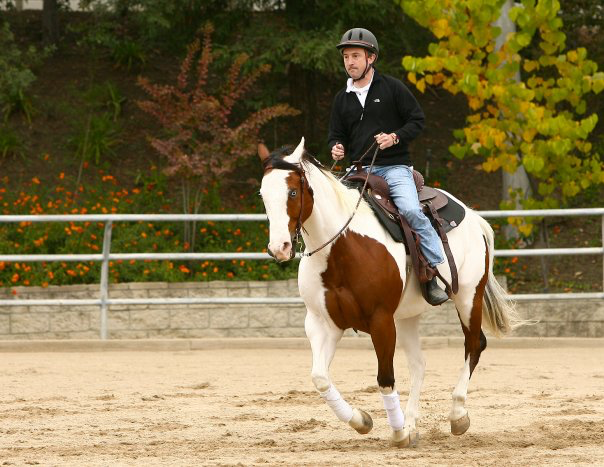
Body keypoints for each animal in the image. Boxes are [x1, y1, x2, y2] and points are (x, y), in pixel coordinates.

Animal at [258, 138, 516, 446]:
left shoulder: (380, 320)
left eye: (293, 191)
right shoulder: (323, 323)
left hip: (467, 297)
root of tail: (474, 217)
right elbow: (320, 378)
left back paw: (456, 415)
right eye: (263, 194)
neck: (343, 248)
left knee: (474, 344)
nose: (279, 248)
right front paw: (362, 421)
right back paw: (412, 423)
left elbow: (385, 379)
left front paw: (397, 432)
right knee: (419, 364)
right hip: (407, 316)